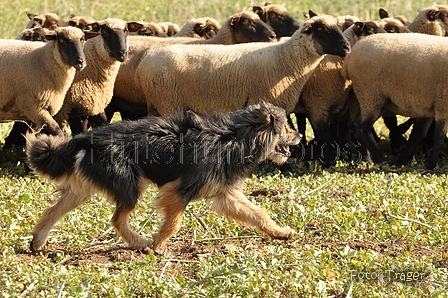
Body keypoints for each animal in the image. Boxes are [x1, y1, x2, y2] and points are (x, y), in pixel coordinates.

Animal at [27, 102, 300, 254]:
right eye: (287, 128)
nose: (298, 136)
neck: (237, 136)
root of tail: (84, 139)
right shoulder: (178, 192)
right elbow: (173, 223)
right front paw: (158, 246)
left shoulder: (226, 194)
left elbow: (258, 214)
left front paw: (280, 233)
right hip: (129, 183)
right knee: (117, 219)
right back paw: (139, 243)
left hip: (83, 188)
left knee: (52, 210)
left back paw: (37, 242)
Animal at [135, 15, 352, 117]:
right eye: (322, 29)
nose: (347, 47)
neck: (286, 58)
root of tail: (143, 65)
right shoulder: (263, 100)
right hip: (169, 102)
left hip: (157, 104)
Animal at [340, 33, 448, 170]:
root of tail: (349, 59)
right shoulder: (442, 105)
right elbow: (439, 136)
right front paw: (431, 165)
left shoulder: (427, 108)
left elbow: (417, 135)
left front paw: (402, 159)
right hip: (370, 94)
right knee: (362, 126)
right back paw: (377, 159)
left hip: (362, 98)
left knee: (353, 125)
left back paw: (367, 158)